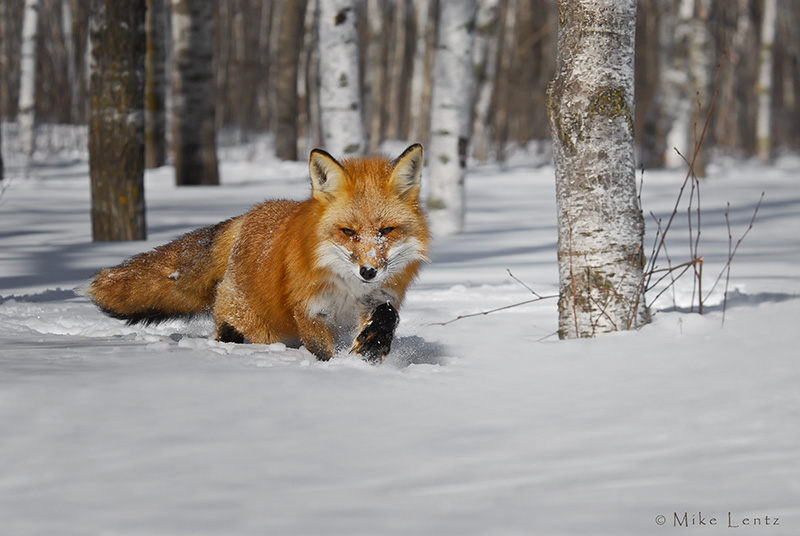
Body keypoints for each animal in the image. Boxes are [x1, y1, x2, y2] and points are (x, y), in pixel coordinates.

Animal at [87, 143, 432, 360]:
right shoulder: (311, 312)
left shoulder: (377, 299)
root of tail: (249, 216)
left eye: (386, 231)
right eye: (348, 232)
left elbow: (387, 316)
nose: (369, 271)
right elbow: (323, 353)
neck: (347, 288)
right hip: (249, 325)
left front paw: (373, 348)